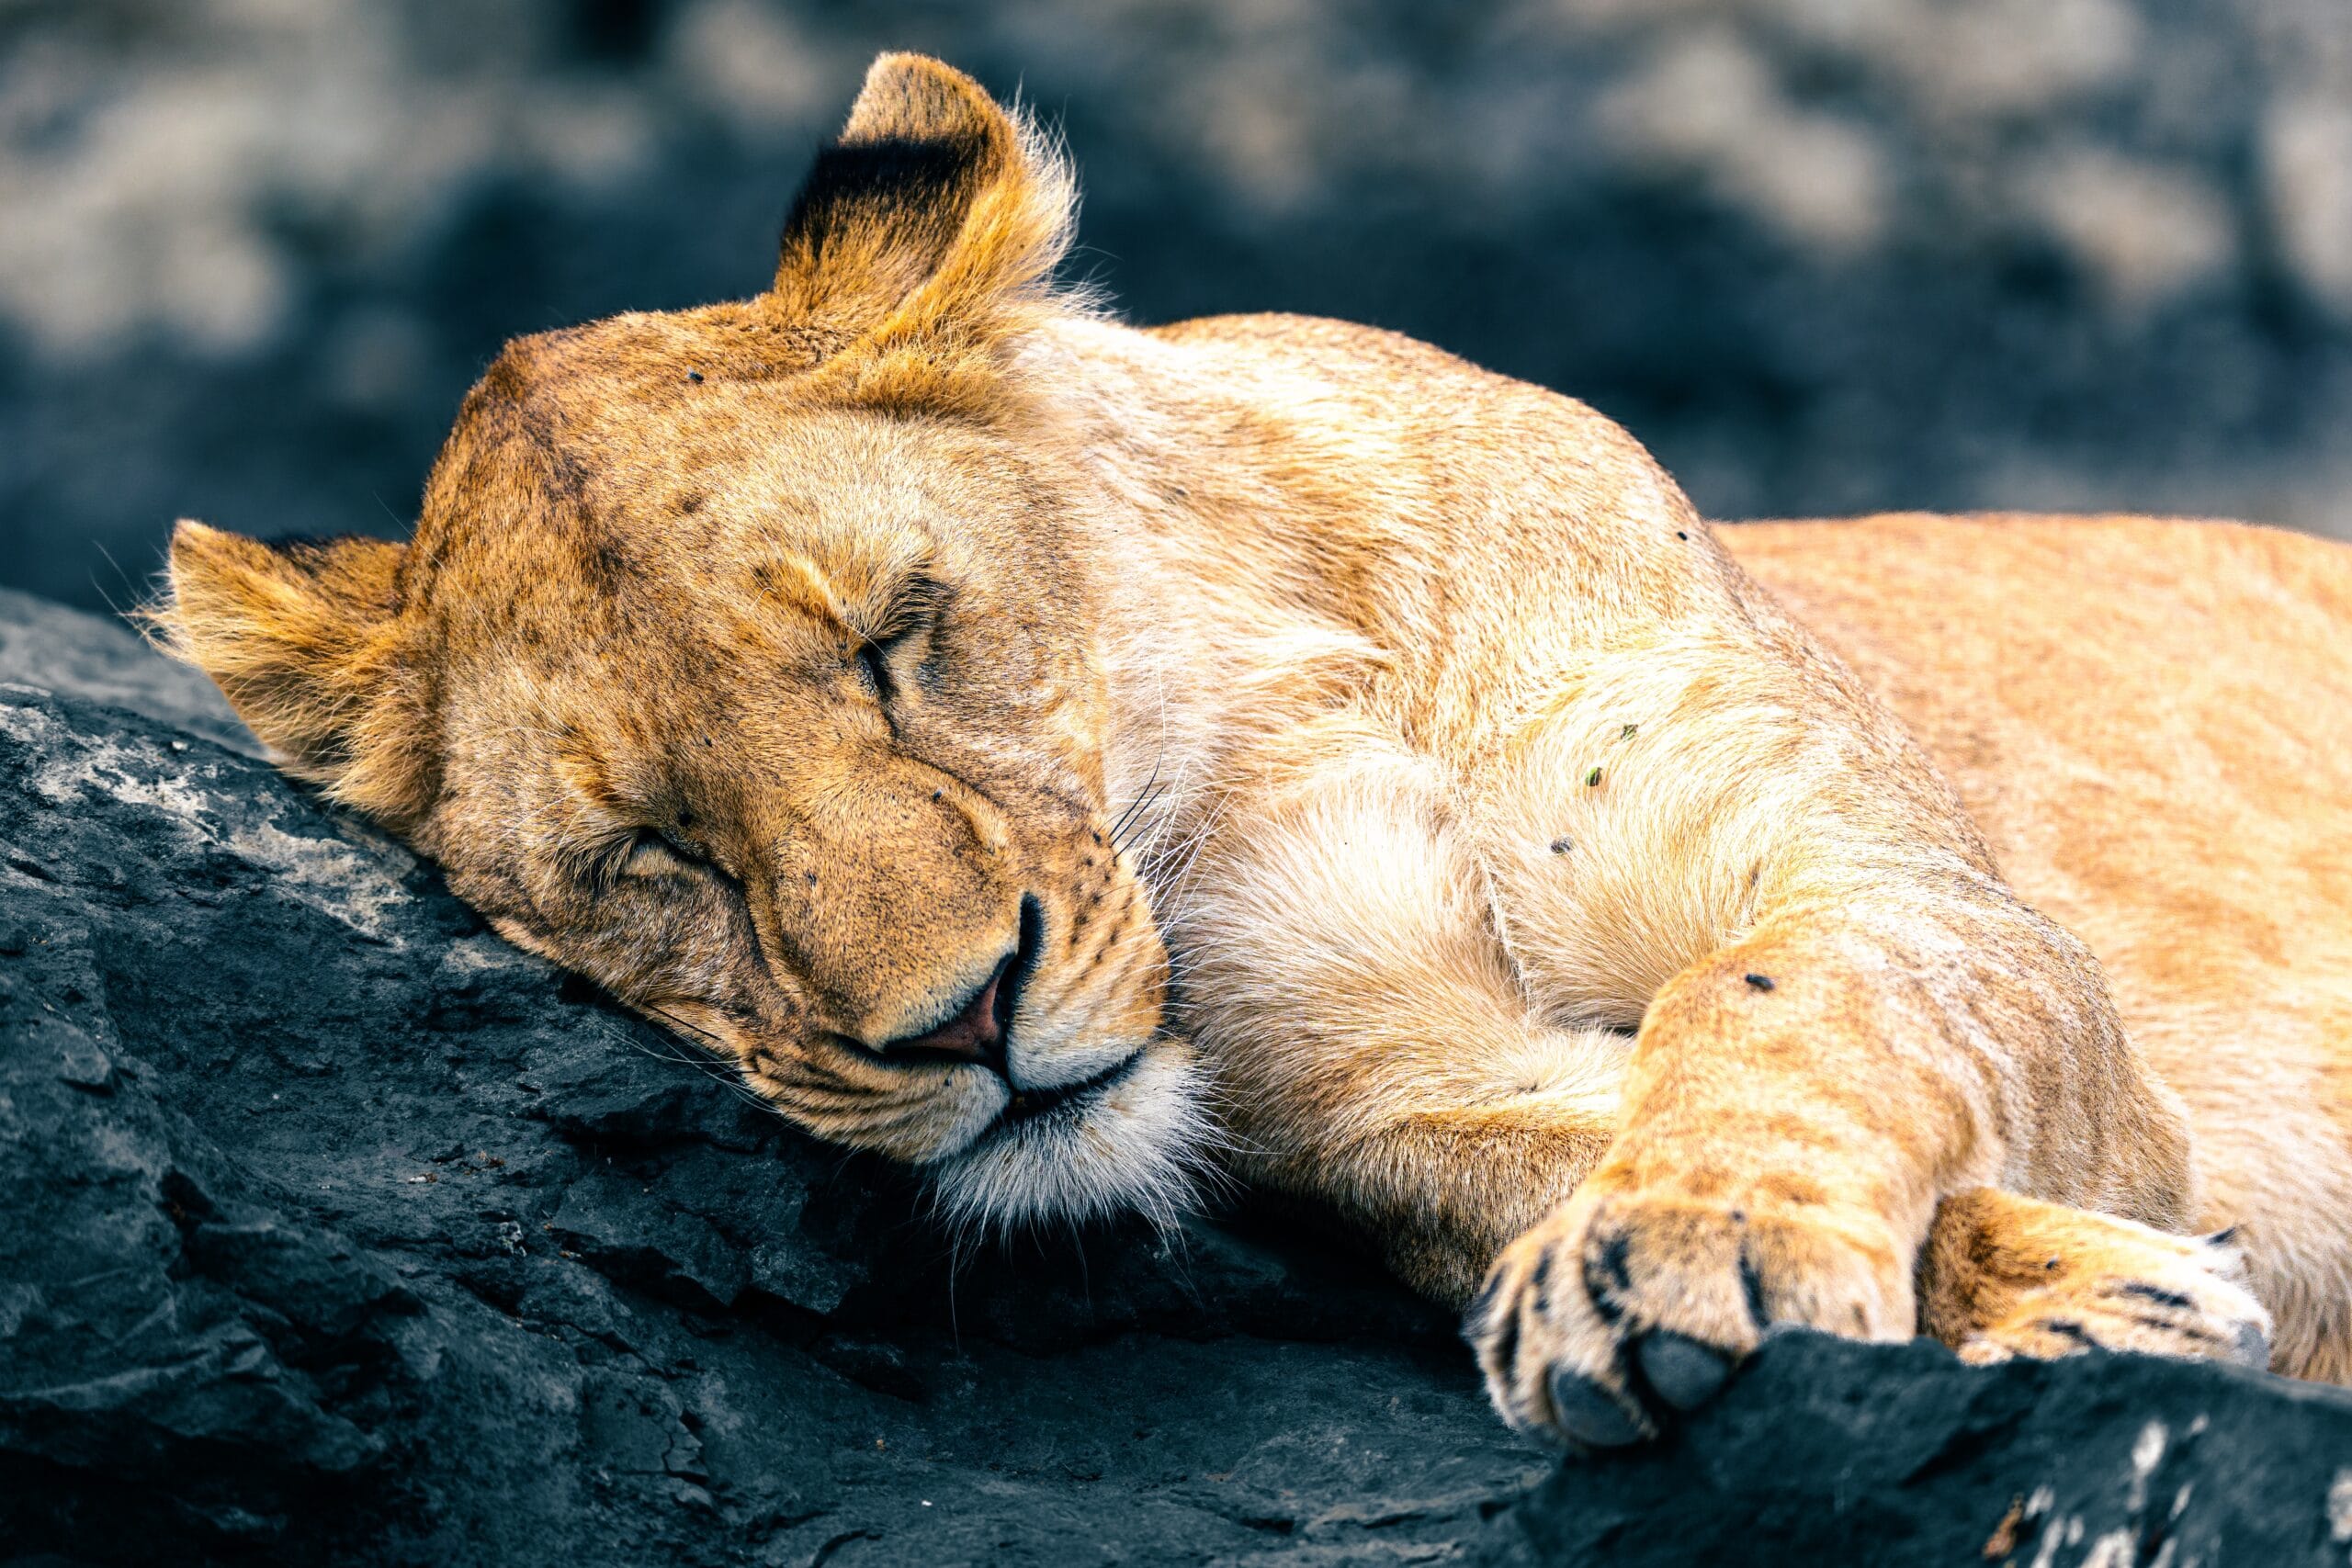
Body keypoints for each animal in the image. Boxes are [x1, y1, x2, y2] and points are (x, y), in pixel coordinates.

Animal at [154, 54, 2352, 1448]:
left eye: (895, 640)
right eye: (651, 856)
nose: (964, 1024)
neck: (1269, 714)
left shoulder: (1906, 889)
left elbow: (1785, 994)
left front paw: (1697, 1246)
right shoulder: (1368, 1077)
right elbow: (1549, 1135)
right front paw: (2073, 1289)